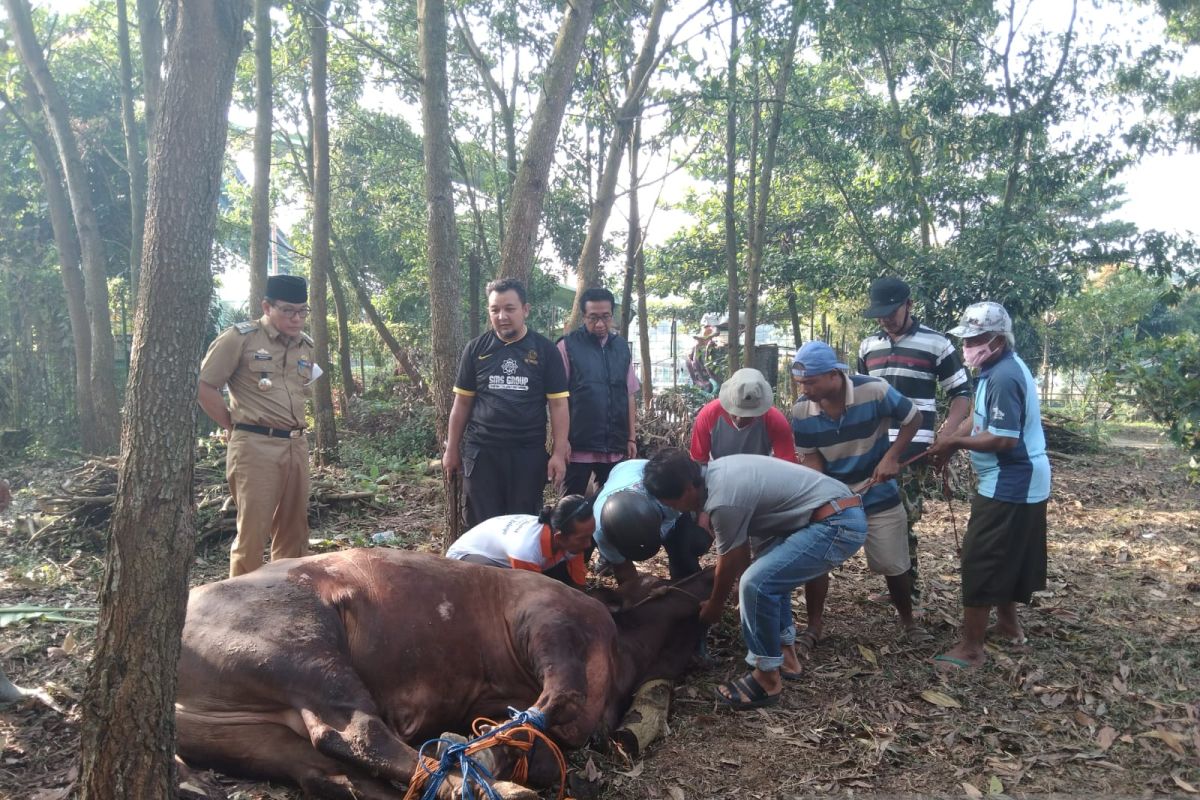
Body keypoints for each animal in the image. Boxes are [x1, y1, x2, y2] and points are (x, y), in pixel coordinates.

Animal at [174, 551, 705, 800]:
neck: (621, 649)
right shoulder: (547, 620)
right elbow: (556, 703)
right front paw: (492, 756)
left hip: (249, 736)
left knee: (327, 771)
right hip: (302, 650)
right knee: (356, 735)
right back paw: (497, 788)